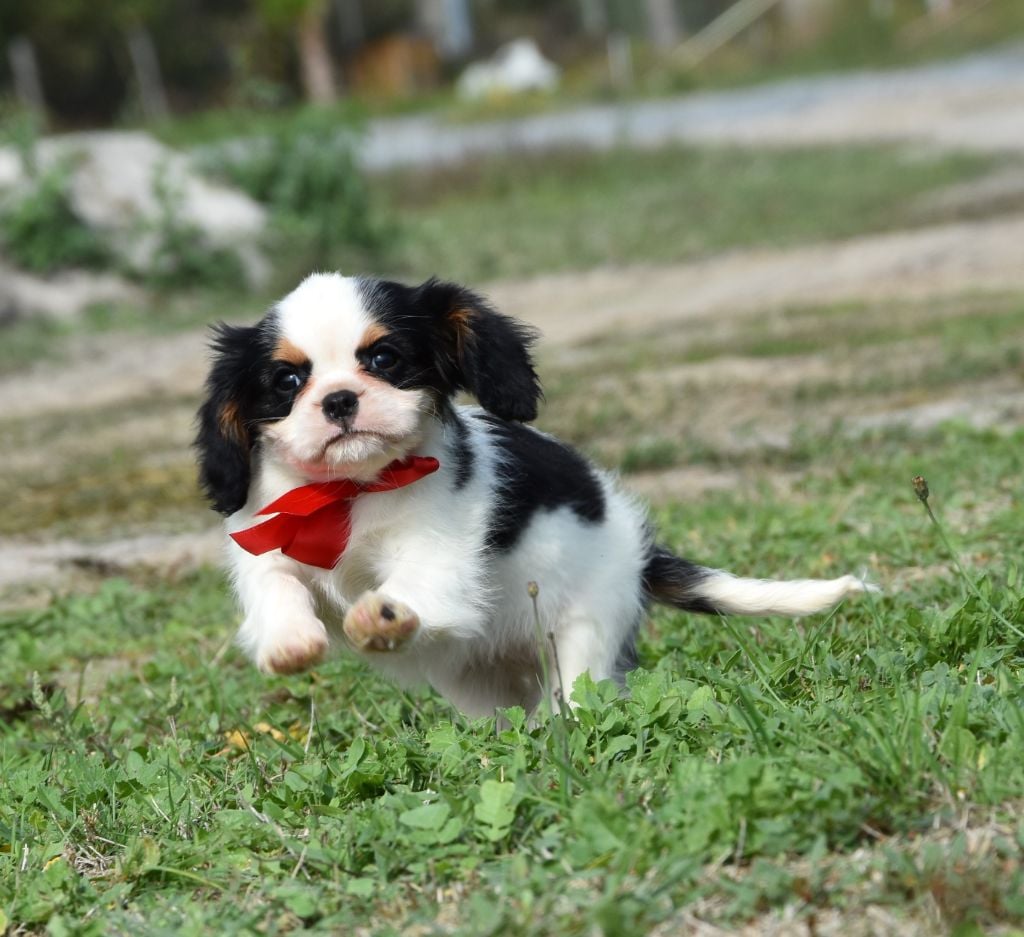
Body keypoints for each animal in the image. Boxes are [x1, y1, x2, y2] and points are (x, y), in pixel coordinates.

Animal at [197, 274, 872, 712]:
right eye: (288, 381)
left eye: (384, 359)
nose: (339, 399)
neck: (349, 490)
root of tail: (639, 547)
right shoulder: (265, 536)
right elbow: (277, 586)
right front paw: (289, 641)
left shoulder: (441, 551)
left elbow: (414, 584)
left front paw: (381, 614)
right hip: (473, 682)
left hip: (588, 630)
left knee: (575, 694)